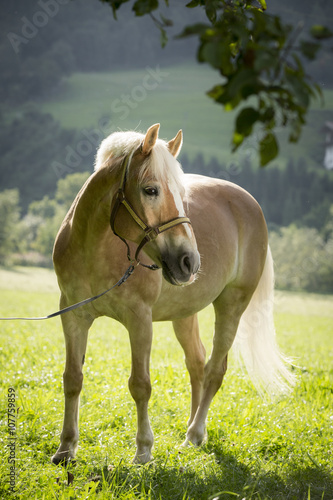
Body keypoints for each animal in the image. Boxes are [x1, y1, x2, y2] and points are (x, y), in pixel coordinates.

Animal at [50, 122, 292, 464]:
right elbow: (72, 378)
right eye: (151, 190)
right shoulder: (73, 314)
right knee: (197, 364)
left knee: (215, 369)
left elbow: (140, 384)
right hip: (185, 313)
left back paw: (194, 433)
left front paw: (143, 450)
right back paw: (192, 430)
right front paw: (66, 448)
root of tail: (250, 204)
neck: (96, 249)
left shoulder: (139, 319)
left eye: (181, 194)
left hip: (232, 303)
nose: (189, 261)